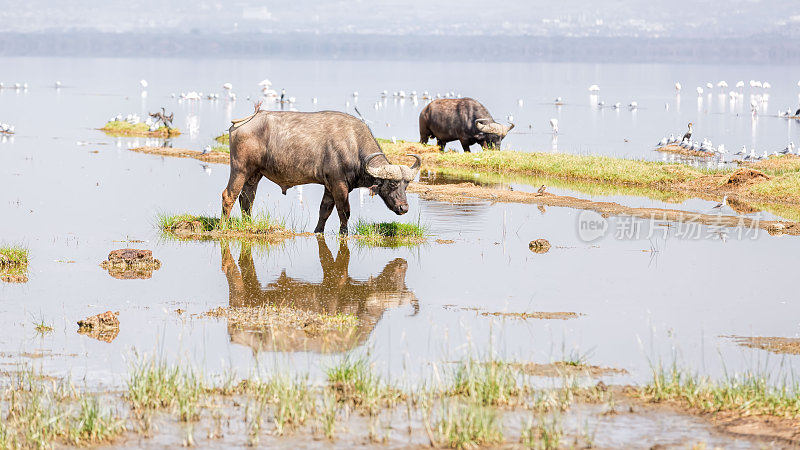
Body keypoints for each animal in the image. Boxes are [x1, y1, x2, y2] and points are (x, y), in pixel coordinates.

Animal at [222, 110, 422, 234]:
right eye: (393, 184)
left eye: (406, 185)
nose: (404, 208)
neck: (353, 145)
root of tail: (243, 122)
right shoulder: (339, 185)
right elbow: (344, 211)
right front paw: (344, 233)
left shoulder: (329, 186)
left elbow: (324, 211)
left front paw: (318, 231)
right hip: (240, 169)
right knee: (229, 195)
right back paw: (224, 225)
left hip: (255, 173)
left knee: (247, 198)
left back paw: (249, 223)